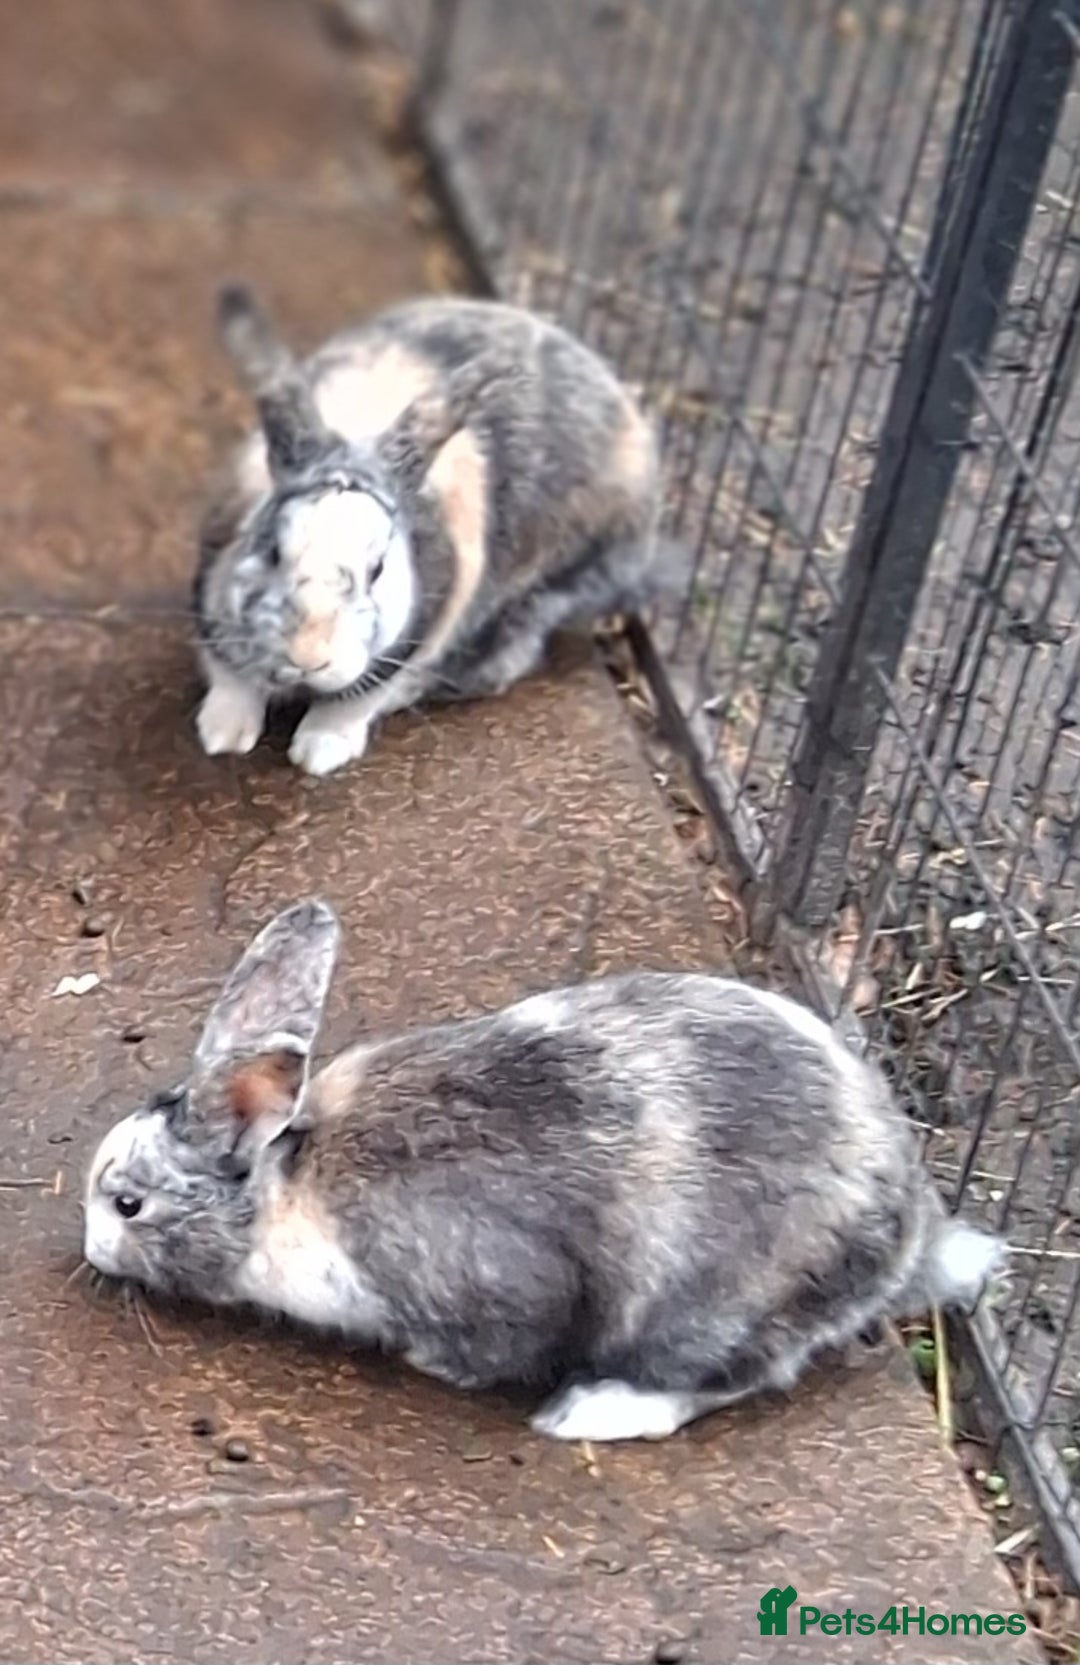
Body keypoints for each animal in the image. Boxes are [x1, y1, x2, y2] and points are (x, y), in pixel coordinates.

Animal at [83, 901, 1003, 1442]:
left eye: (127, 1203)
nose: (89, 1250)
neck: (290, 1182)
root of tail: (909, 1239)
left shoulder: (496, 1280)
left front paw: (436, 1362)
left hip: (710, 1311)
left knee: (721, 1381)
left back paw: (586, 1411)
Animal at [193, 286, 670, 777]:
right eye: (272, 550)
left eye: (378, 570)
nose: (308, 655)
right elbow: (230, 679)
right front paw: (223, 735)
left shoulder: (411, 642)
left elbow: (353, 703)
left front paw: (319, 751)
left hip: (543, 596)